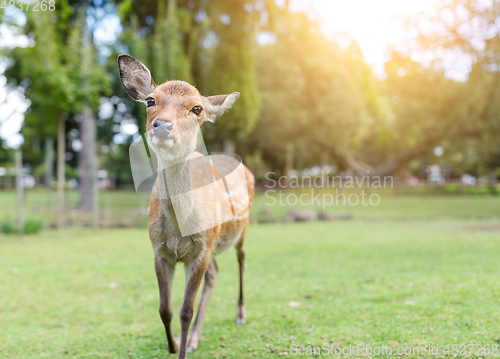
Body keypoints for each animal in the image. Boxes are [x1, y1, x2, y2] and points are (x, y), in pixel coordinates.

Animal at [117, 54, 254, 359]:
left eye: (197, 108)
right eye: (150, 100)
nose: (162, 125)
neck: (179, 229)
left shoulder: (200, 251)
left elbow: (184, 312)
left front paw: (181, 345)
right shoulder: (159, 250)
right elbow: (165, 310)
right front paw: (174, 345)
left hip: (241, 228)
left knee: (241, 259)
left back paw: (240, 313)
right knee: (215, 274)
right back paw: (194, 339)